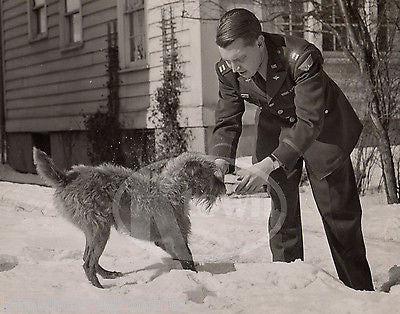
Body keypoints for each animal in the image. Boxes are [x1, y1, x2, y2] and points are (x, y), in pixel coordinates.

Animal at [32, 148, 227, 288]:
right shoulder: (176, 236)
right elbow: (188, 257)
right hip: (100, 229)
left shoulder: (165, 240)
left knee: (87, 258)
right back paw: (99, 288)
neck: (173, 189)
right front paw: (195, 276)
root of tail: (67, 178)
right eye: (212, 173)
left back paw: (107, 274)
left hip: (95, 230)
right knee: (88, 263)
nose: (224, 188)